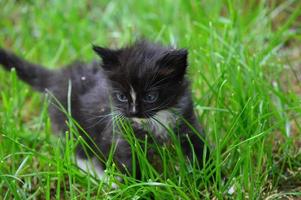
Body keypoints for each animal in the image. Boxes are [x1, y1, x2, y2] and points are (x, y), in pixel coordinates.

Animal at [0, 40, 206, 180]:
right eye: (122, 97)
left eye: (150, 97)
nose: (133, 113)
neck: (156, 118)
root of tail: (58, 76)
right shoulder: (121, 134)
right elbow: (128, 163)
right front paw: (139, 186)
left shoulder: (186, 120)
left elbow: (198, 145)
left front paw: (205, 175)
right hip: (72, 121)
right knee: (81, 152)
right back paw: (103, 178)